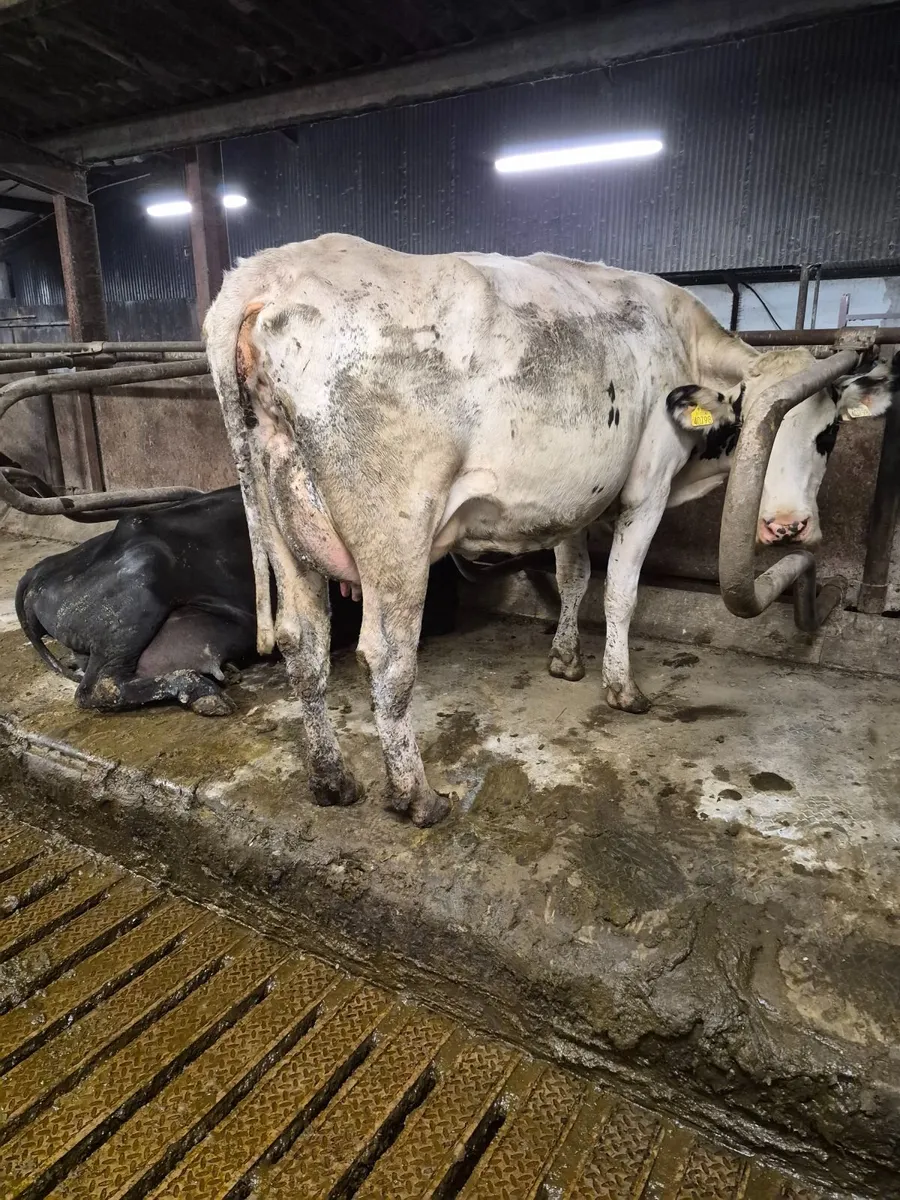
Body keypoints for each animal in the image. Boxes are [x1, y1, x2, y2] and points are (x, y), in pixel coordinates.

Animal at [204, 234, 896, 826]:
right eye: (754, 423)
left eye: (826, 434)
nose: (787, 526)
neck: (682, 339)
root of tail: (265, 272)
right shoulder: (648, 487)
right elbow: (620, 593)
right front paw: (622, 687)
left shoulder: (571, 498)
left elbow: (574, 575)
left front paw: (565, 658)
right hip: (394, 535)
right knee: (387, 657)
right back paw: (416, 796)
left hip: (283, 523)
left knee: (304, 642)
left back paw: (331, 780)